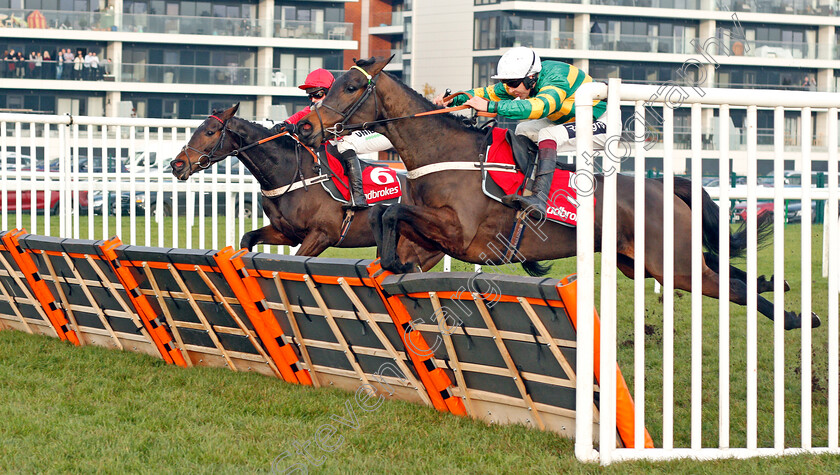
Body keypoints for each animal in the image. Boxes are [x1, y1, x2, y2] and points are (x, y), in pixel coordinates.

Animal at [167, 103, 442, 272]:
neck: (290, 173)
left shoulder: (322, 235)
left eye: (210, 132)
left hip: (412, 250)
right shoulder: (287, 233)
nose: (176, 164)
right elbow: (248, 238)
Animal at [296, 56, 820, 330]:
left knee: (731, 287)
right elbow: (388, 222)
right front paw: (392, 265)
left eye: (351, 87)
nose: (305, 127)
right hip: (644, 263)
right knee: (730, 273)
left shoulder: (461, 236)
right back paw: (780, 289)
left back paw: (798, 319)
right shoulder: (429, 237)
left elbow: (390, 215)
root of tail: (664, 187)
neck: (443, 153)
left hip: (673, 266)